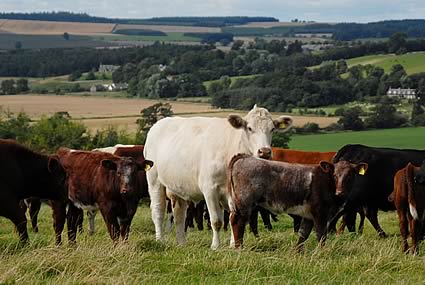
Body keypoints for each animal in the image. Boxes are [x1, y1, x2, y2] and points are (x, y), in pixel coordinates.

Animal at [142, 105, 292, 248]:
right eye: (249, 128)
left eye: (272, 129)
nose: (265, 152)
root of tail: (160, 123)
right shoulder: (210, 189)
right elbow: (216, 221)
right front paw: (215, 246)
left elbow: (234, 218)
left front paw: (234, 245)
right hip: (154, 180)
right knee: (158, 212)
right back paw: (160, 240)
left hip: (178, 187)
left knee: (179, 215)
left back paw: (182, 243)